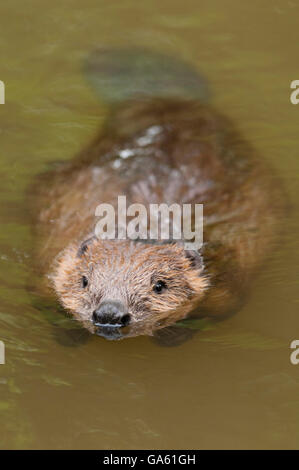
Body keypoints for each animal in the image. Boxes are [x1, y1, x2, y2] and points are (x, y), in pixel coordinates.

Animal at [31, 49, 288, 344]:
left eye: (159, 285)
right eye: (84, 280)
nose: (110, 314)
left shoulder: (227, 277)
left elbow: (218, 309)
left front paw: (171, 337)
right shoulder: (49, 263)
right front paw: (68, 335)